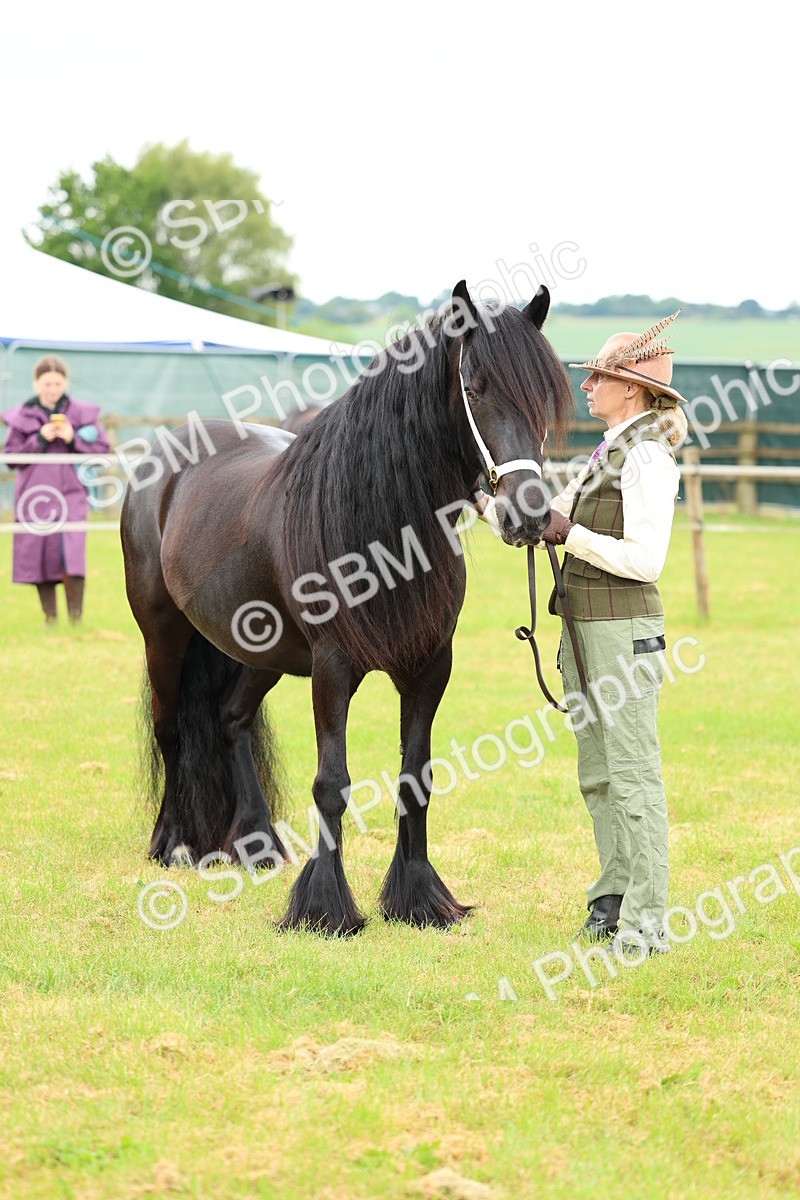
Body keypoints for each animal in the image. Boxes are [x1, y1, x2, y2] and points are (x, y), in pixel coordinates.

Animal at [120, 280, 574, 936]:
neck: (383, 529)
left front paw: (419, 900)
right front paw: (325, 909)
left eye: (544, 398)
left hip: (260, 652)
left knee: (231, 719)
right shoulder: (333, 668)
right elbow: (331, 783)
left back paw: (256, 845)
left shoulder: (429, 668)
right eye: (474, 389)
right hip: (164, 636)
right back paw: (175, 843)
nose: (531, 515)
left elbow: (416, 777)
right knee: (171, 728)